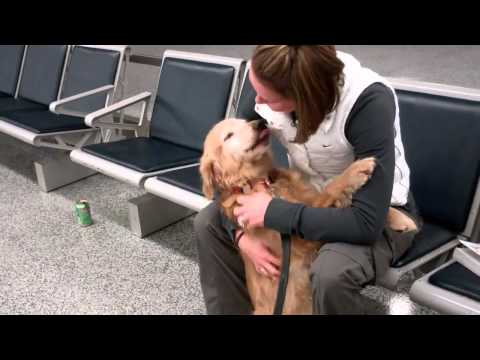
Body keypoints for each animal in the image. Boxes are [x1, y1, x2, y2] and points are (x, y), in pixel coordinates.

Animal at [199, 119, 416, 316]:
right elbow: (331, 188)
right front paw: (356, 169)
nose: (259, 123)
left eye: (244, 121)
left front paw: (402, 219)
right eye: (228, 135)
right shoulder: (303, 240)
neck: (260, 182)